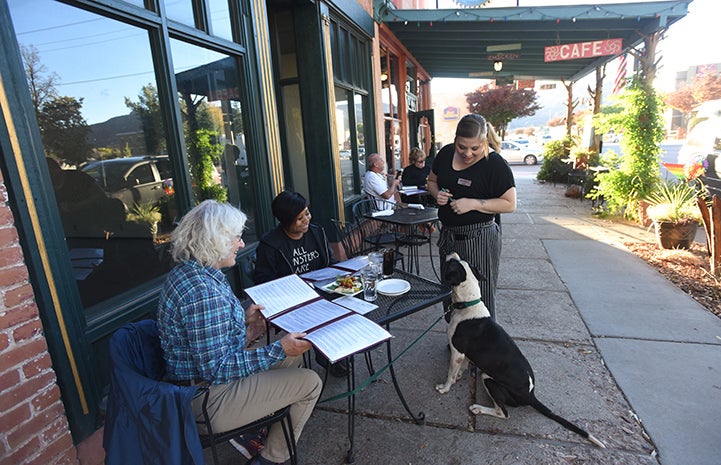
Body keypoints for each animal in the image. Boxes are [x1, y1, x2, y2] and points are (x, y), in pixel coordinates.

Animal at [436, 252, 604, 448]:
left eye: (453, 264)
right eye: (464, 262)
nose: (452, 253)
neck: (468, 304)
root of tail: (530, 395)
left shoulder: (457, 352)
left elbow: (450, 373)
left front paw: (445, 388)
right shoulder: (464, 354)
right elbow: (460, 368)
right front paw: (458, 377)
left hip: (489, 379)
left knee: (503, 413)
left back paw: (478, 408)